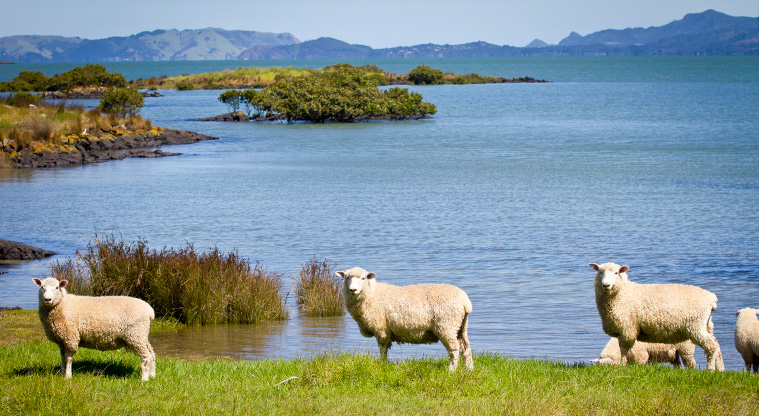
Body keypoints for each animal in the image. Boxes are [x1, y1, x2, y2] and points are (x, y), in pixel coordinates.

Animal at [335, 267, 473, 371]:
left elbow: (383, 349)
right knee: (466, 349)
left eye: (363, 278)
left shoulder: (382, 330)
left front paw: (383, 364)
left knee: (454, 350)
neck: (371, 294)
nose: (353, 290)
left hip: (446, 326)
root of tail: (465, 301)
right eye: (347, 277)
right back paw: (469, 370)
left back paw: (451, 370)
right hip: (460, 326)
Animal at [590, 262, 724, 371]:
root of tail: (712, 299)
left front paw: (622, 366)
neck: (623, 292)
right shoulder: (621, 329)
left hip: (695, 326)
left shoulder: (628, 328)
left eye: (616, 273)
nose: (606, 285)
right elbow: (622, 348)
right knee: (717, 345)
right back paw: (720, 369)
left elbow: (624, 349)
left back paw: (710, 370)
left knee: (711, 346)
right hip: (706, 325)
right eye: (600, 272)